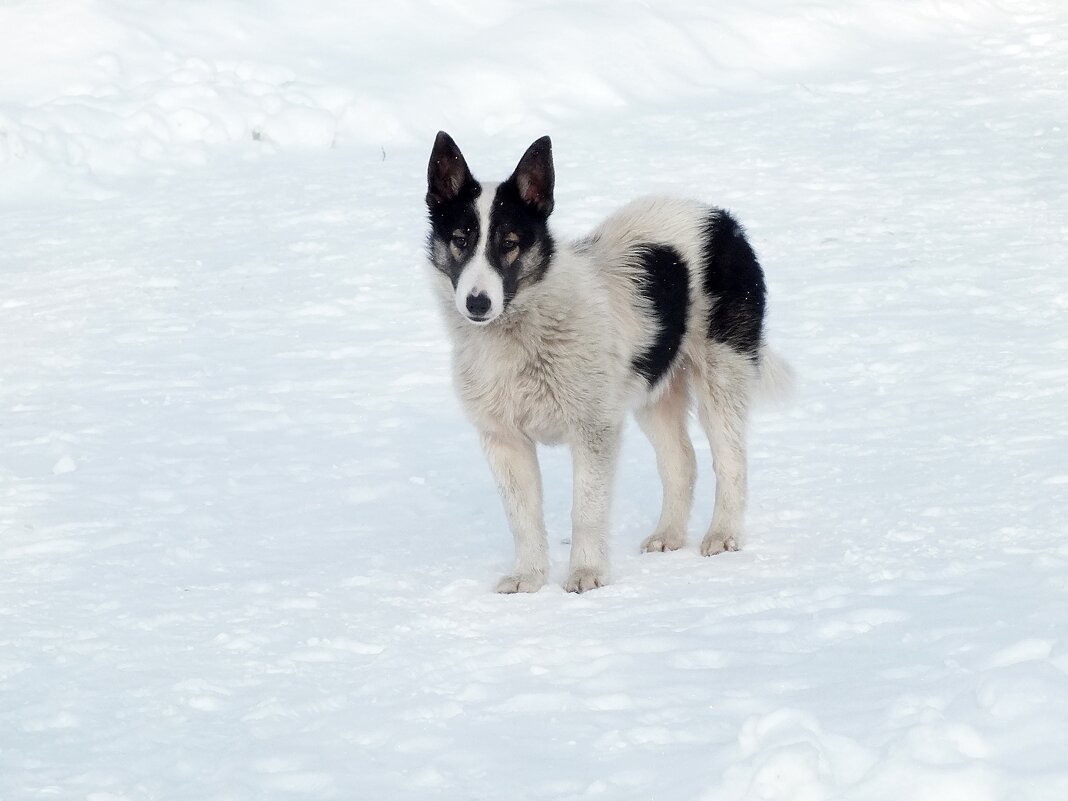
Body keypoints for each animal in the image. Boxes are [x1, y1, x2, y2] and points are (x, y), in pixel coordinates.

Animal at [422, 131, 786, 593]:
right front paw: (529, 577)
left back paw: (723, 534)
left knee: (731, 460)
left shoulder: (594, 430)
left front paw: (586, 574)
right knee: (681, 462)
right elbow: (523, 519)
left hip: (721, 375)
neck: (526, 328)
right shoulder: (504, 440)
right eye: (460, 239)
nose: (478, 303)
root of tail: (722, 221)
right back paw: (668, 534)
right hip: (654, 389)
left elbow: (587, 510)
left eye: (509, 244)